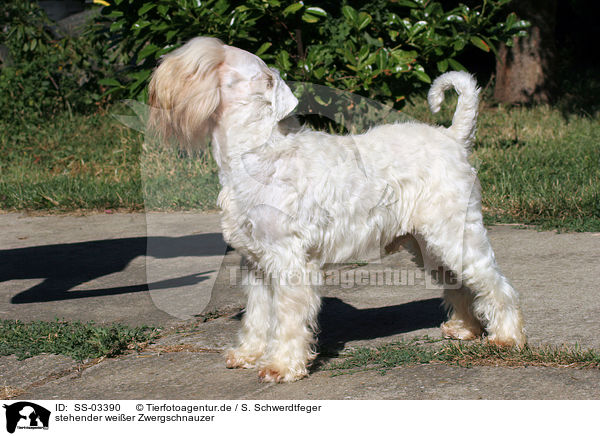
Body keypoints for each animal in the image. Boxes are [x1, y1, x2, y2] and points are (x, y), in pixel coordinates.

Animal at [149, 36, 524, 382]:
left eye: (216, 63)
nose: (161, 70)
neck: (255, 152)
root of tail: (452, 137)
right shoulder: (256, 261)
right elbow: (257, 315)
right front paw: (247, 354)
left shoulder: (288, 259)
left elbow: (287, 319)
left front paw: (280, 366)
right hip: (427, 244)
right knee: (459, 284)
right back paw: (464, 328)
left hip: (454, 234)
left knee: (493, 283)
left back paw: (506, 338)